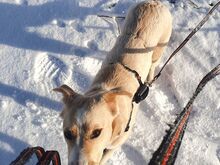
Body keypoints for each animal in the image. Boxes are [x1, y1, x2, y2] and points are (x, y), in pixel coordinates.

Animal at [53, 0, 172, 164]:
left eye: (96, 132)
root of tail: (154, 3)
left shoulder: (115, 145)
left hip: (160, 46)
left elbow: (105, 157)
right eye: (67, 134)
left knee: (154, 64)